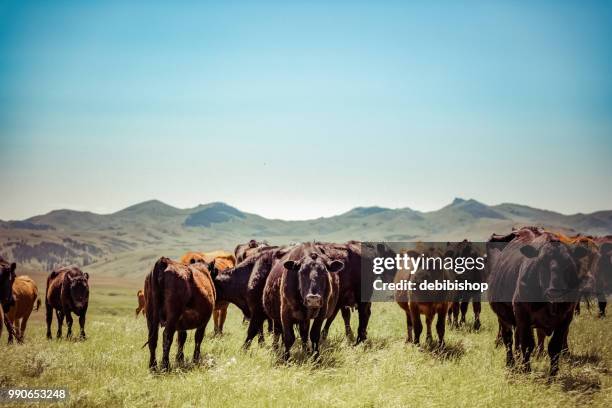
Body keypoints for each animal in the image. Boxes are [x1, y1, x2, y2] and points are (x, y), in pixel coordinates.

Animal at [488, 230, 588, 376]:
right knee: (508, 340)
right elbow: (527, 344)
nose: (556, 290)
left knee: (516, 340)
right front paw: (526, 370)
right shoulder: (522, 314)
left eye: (568, 263)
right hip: (504, 317)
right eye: (542, 262)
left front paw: (553, 375)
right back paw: (511, 364)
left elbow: (555, 347)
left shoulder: (566, 318)